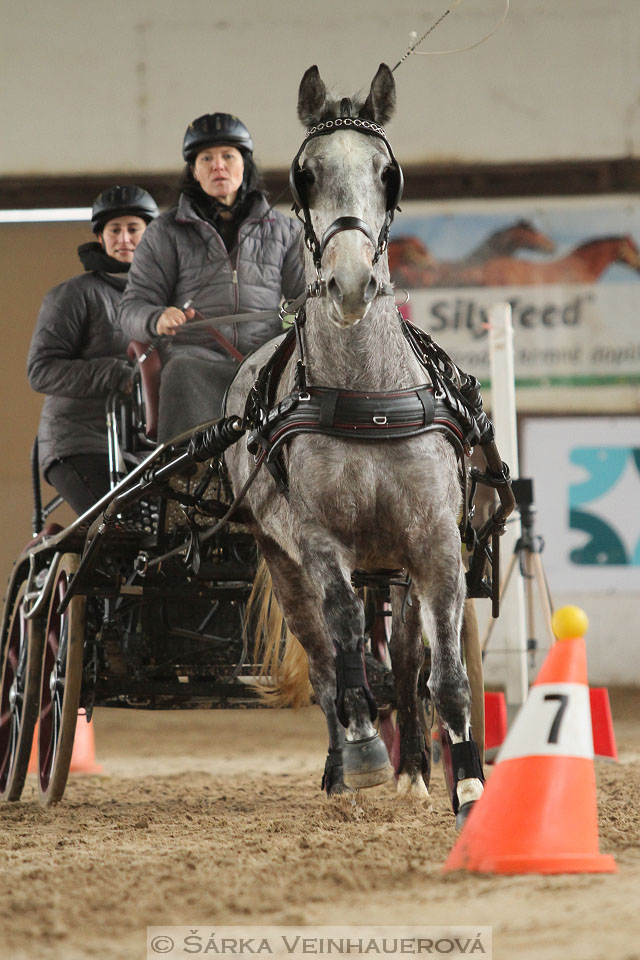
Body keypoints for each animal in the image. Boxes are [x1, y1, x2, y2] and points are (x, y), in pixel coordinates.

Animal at [225, 65, 484, 816]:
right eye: (305, 174)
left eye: (387, 173)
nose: (348, 282)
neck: (369, 400)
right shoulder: (317, 542)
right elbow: (342, 644)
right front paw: (367, 753)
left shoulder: (435, 540)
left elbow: (442, 672)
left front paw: (467, 784)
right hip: (282, 562)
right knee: (324, 664)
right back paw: (346, 767)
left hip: (393, 567)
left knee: (405, 659)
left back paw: (416, 768)